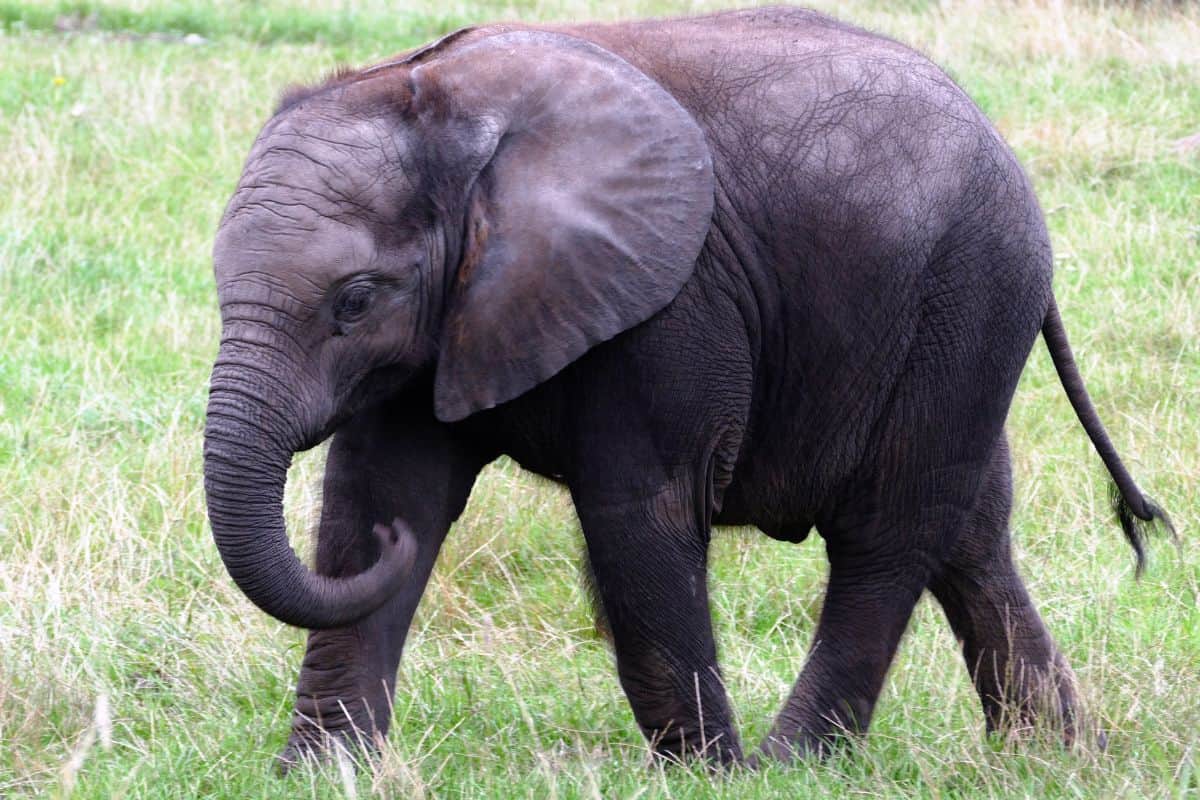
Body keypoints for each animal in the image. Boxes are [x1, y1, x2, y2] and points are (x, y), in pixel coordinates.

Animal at [203, 6, 1173, 768]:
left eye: (355, 300)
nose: (398, 549)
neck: (440, 106)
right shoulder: (449, 321)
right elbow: (380, 490)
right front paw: (320, 772)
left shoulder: (672, 303)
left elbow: (641, 513)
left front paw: (707, 774)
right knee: (971, 534)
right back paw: (1053, 756)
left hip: (967, 294)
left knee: (889, 533)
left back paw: (791, 764)